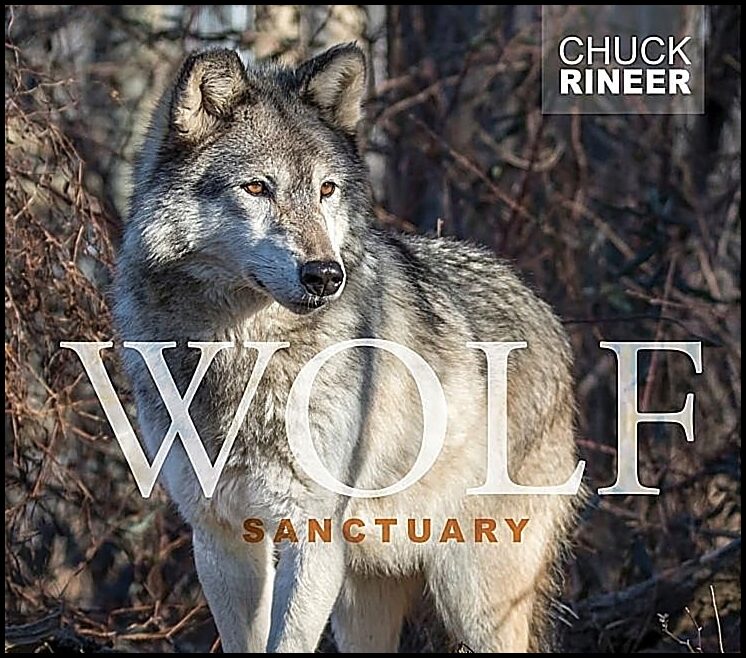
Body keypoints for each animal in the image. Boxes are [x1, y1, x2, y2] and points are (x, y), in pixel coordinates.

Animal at [113, 43, 582, 653]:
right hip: (365, 598)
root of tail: (540, 304)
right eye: (257, 188)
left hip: (474, 598)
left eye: (326, 190)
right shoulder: (218, 535)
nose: (325, 274)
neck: (242, 352)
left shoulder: (313, 535)